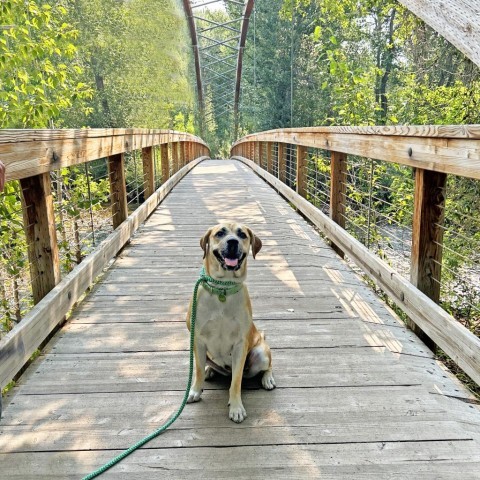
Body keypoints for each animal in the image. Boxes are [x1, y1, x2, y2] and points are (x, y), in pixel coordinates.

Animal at [188, 223, 278, 422]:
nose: (232, 242)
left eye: (242, 234)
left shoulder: (239, 345)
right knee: (206, 366)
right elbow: (197, 370)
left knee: (267, 366)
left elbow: (236, 382)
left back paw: (267, 379)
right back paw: (210, 370)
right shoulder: (198, 341)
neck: (223, 289)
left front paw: (236, 407)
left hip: (261, 353)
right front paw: (195, 390)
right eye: (220, 233)